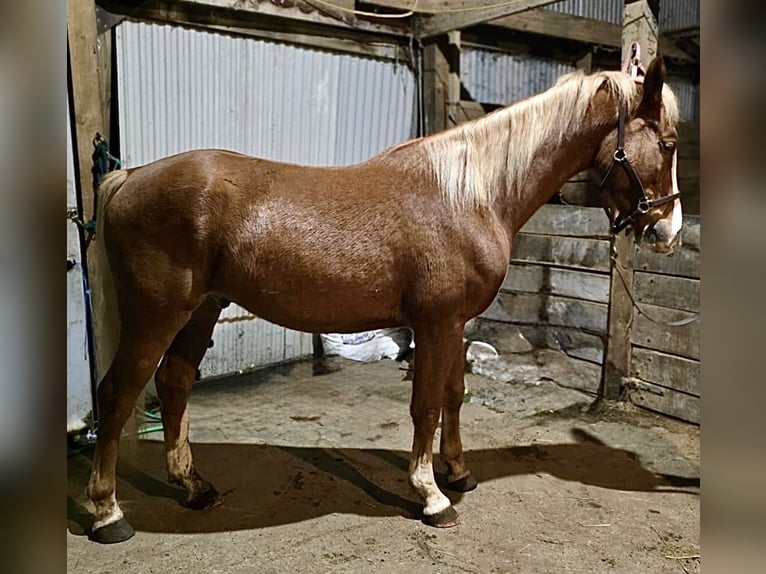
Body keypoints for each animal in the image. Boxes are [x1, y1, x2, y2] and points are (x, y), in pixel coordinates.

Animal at [85, 56, 684, 544]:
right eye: (670, 143)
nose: (669, 230)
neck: (469, 195)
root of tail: (128, 177)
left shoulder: (455, 323)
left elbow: (454, 396)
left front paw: (458, 472)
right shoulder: (436, 323)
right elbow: (425, 405)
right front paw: (433, 496)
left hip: (201, 309)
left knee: (174, 383)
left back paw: (193, 487)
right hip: (158, 313)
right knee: (115, 394)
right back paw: (108, 513)